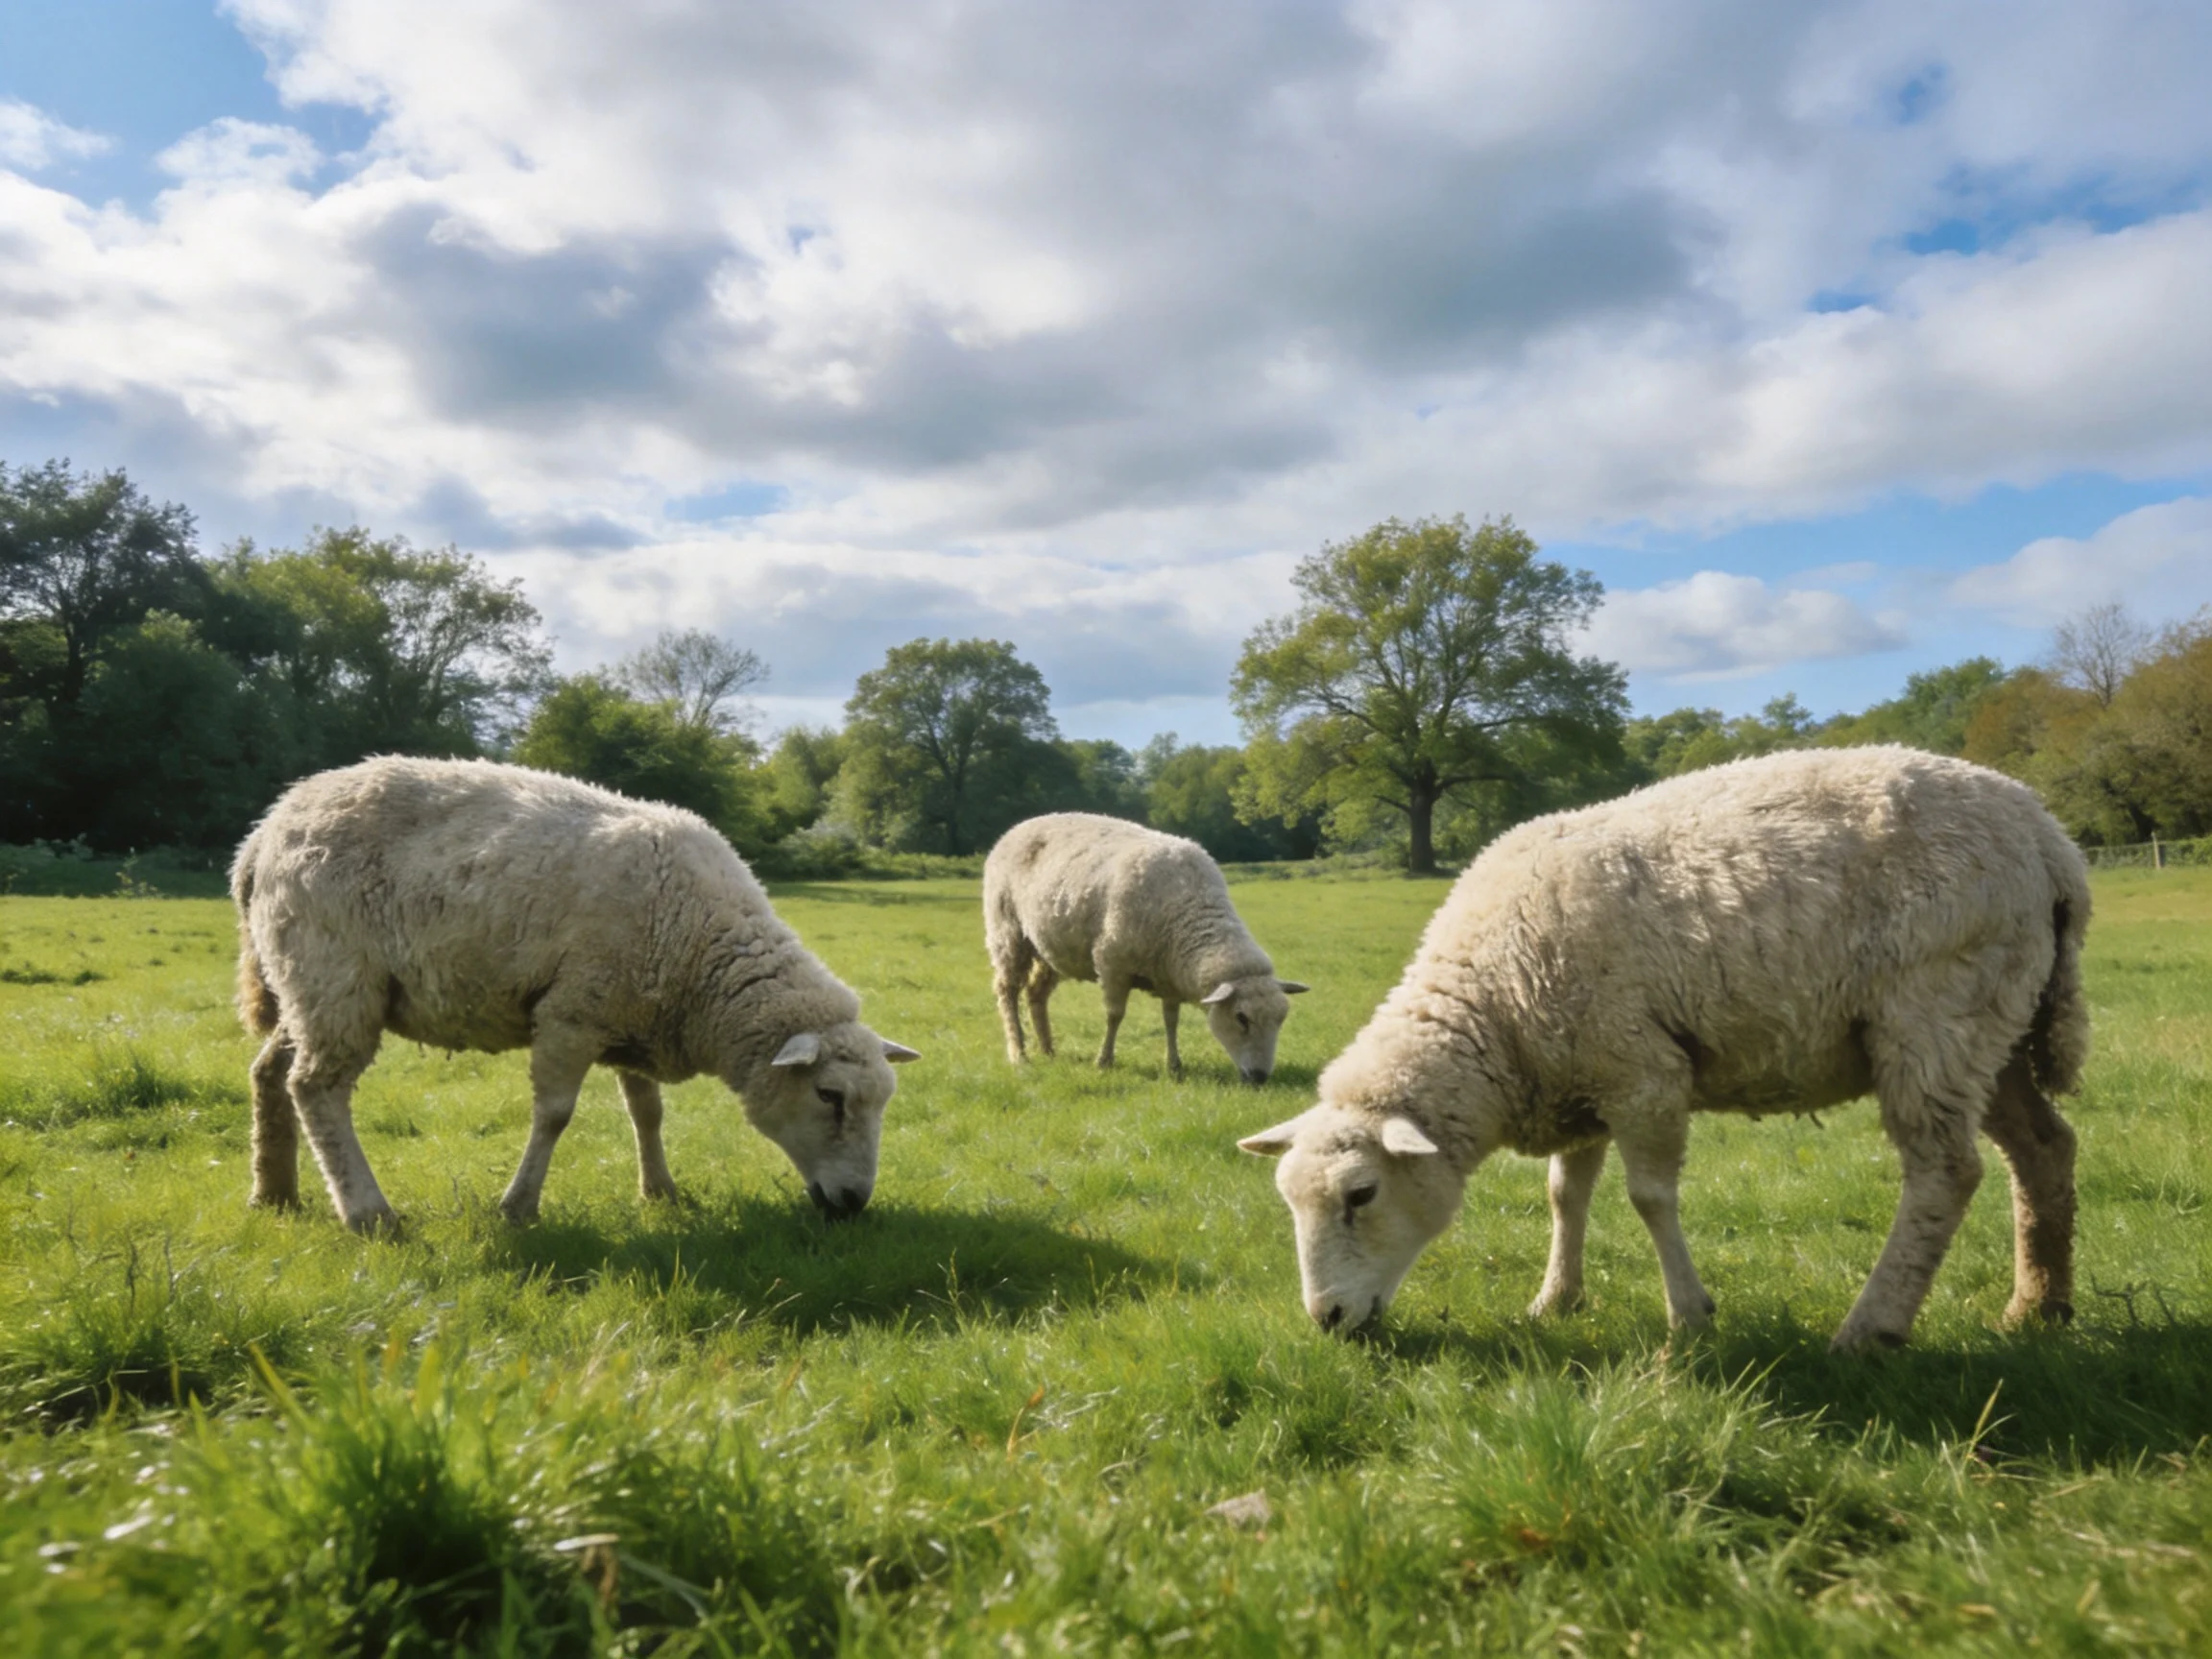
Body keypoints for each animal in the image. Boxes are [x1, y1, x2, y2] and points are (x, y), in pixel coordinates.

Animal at [231, 756, 920, 1234]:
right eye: (830, 1096)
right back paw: (367, 1213)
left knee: (269, 1072)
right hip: (334, 974)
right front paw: (518, 1207)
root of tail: (262, 833)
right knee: (315, 1088)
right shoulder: (572, 1012)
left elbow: (647, 1112)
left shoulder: (633, 1012)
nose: (854, 1204)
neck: (700, 951)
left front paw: (660, 1191)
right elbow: (555, 1116)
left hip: (302, 979)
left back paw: (274, 1194)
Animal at [984, 813, 1308, 1083]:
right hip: (1007, 932)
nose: (1260, 1078)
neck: (1189, 910)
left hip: (1049, 948)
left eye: (1281, 1018)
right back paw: (1019, 1054)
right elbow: (1115, 1016)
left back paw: (1048, 1050)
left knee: (1036, 993)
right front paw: (1104, 1061)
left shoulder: (1170, 975)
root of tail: (1018, 827)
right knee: (1007, 991)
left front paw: (1174, 1066)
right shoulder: (1112, 963)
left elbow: (1171, 1020)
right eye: (1241, 1018)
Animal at [1239, 746, 2089, 1353]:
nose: (1327, 1319)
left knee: (1945, 1172)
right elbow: (1566, 1195)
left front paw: (1689, 1317)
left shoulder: (1639, 1069)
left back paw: (1870, 1328)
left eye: (1361, 1195)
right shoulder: (1575, 1072)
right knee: (2042, 1147)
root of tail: (2050, 839)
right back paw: (2037, 1307)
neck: (1494, 1009)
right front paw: (1556, 1299)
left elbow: (1648, 1199)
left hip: (1935, 1009)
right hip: (1998, 1022)